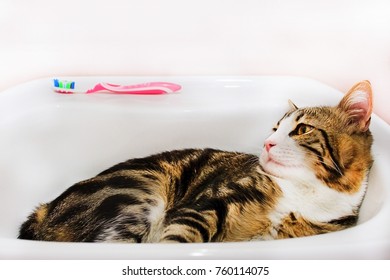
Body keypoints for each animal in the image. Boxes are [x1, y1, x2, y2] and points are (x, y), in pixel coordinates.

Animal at [19, 80, 374, 243]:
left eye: (301, 129)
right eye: (275, 128)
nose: (267, 143)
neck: (304, 195)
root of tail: (46, 209)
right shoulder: (206, 204)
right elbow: (180, 234)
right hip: (141, 192)